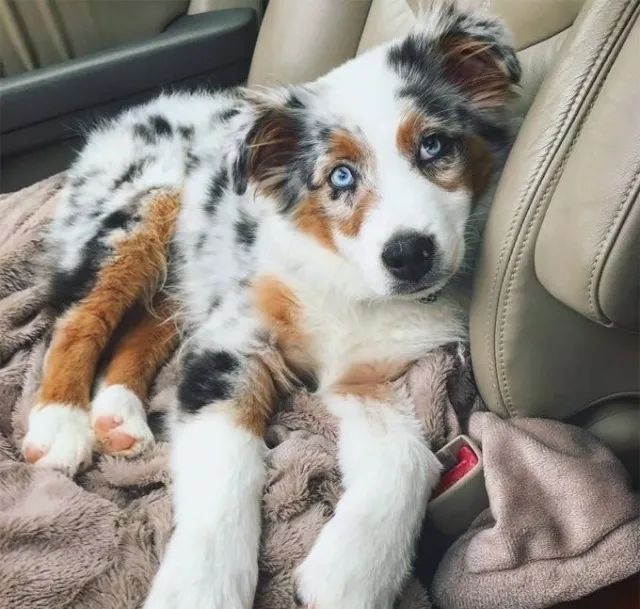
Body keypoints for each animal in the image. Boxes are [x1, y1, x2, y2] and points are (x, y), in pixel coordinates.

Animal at [21, 2, 520, 604]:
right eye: (340, 175)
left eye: (433, 146)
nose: (408, 256)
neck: (347, 278)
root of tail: (138, 111)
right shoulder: (231, 343)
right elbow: (226, 469)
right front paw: (199, 588)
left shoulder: (364, 376)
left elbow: (408, 455)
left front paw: (348, 575)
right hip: (141, 209)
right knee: (80, 318)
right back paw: (58, 424)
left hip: (190, 273)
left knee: (148, 324)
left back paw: (117, 414)